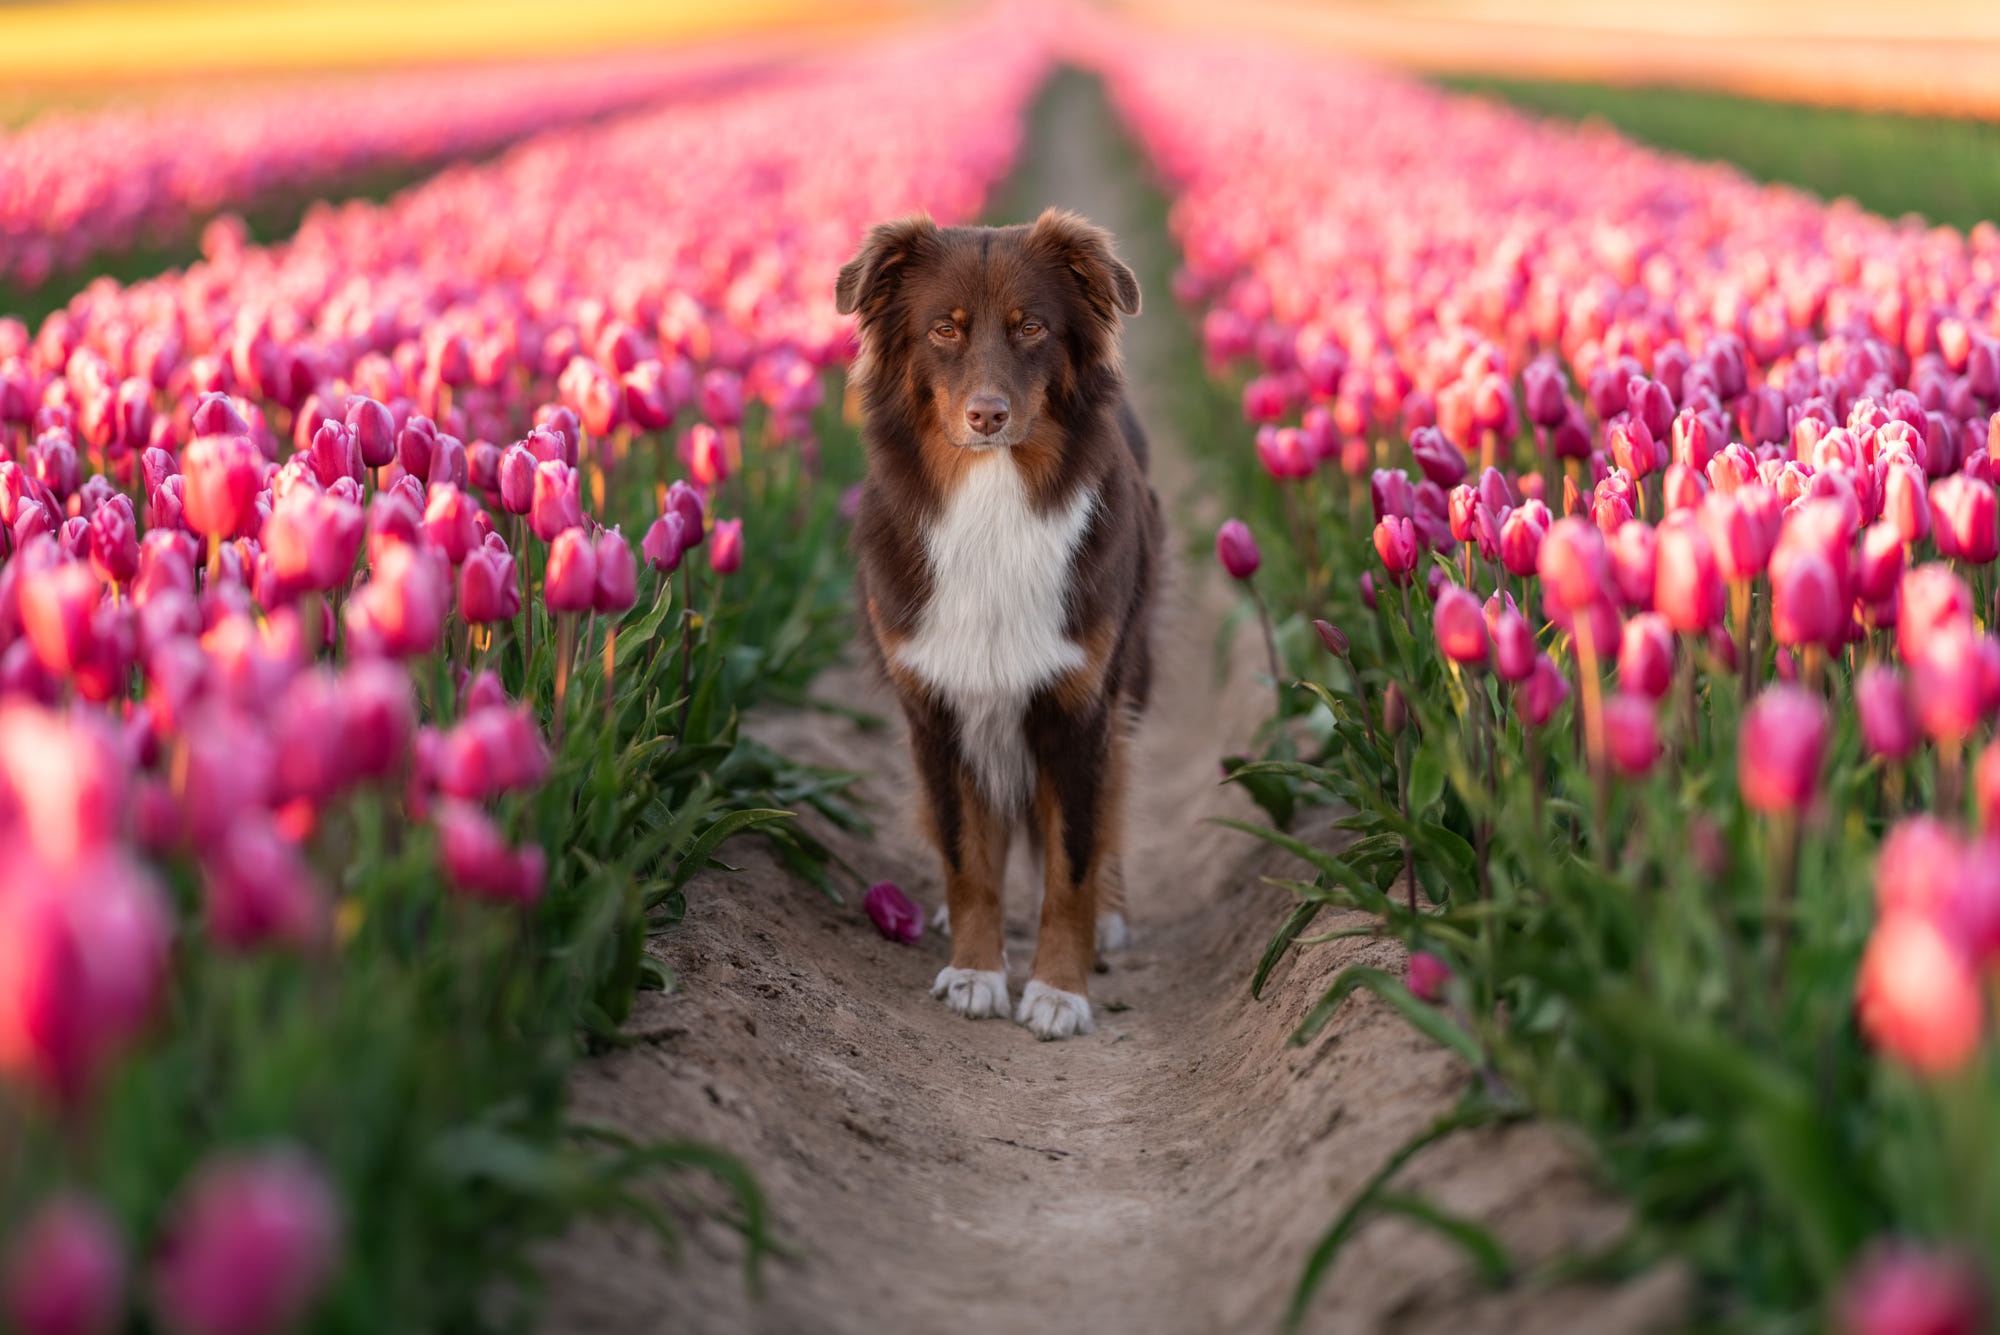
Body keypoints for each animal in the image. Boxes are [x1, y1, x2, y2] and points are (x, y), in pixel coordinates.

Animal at [840, 210, 1160, 1039]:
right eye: (944, 329)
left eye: (1033, 327)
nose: (988, 415)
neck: (992, 498)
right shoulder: (936, 706)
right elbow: (967, 857)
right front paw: (976, 971)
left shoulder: (1079, 707)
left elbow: (1071, 864)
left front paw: (1058, 990)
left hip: (1131, 673)